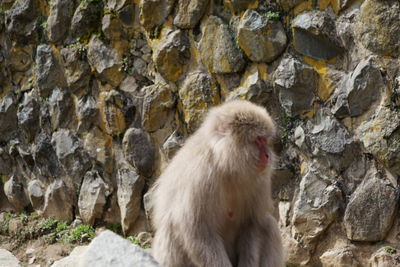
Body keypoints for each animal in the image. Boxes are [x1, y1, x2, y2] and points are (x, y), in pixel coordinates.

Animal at [150, 100, 284, 267]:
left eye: (265, 140)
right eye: (258, 139)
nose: (267, 155)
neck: (227, 167)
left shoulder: (261, 180)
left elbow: (252, 224)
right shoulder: (199, 178)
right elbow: (198, 233)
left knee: (268, 225)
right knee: (171, 229)